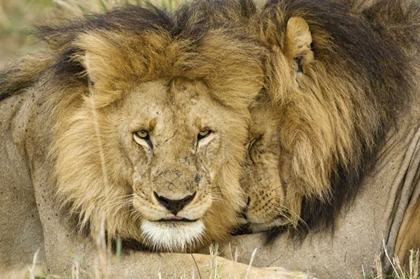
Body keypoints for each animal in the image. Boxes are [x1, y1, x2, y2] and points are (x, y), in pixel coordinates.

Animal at [0, 3, 312, 278]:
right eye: (142, 135)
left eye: (203, 134)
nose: (175, 203)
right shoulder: (75, 258)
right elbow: (195, 263)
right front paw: (289, 275)